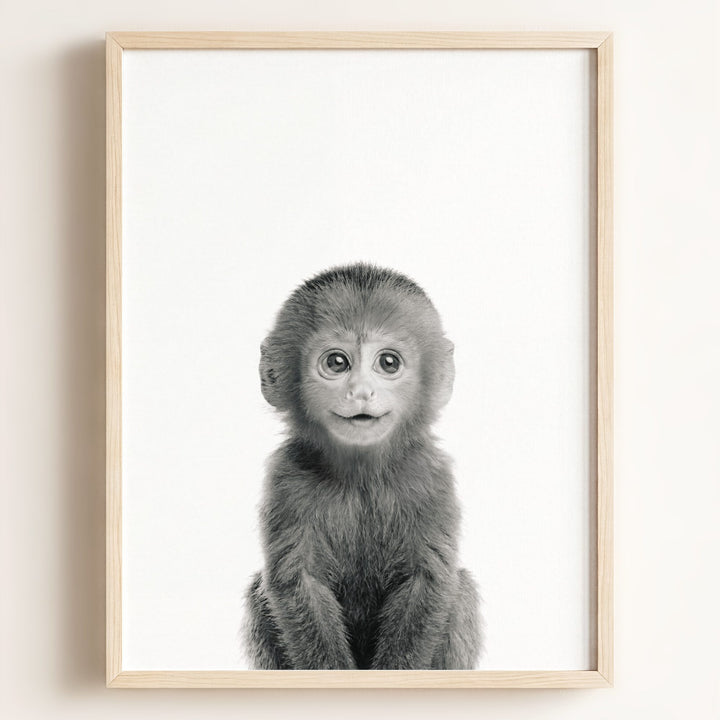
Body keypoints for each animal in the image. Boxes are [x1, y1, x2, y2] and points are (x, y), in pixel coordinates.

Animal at [243, 263, 481, 670]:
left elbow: (427, 581)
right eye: (337, 363)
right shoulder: (286, 477)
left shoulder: (431, 475)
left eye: (388, 363)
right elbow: (298, 582)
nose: (360, 392)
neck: (362, 477)